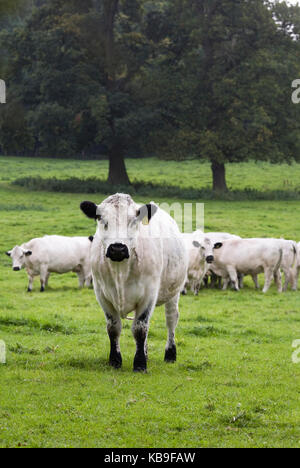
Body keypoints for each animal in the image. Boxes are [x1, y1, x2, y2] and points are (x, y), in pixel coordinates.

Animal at [79, 192, 188, 372]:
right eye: (100, 218)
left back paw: (170, 354)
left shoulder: (149, 294)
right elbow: (113, 327)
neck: (120, 270)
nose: (117, 248)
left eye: (134, 219)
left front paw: (140, 364)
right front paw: (115, 361)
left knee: (171, 319)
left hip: (174, 292)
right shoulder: (102, 294)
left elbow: (140, 328)